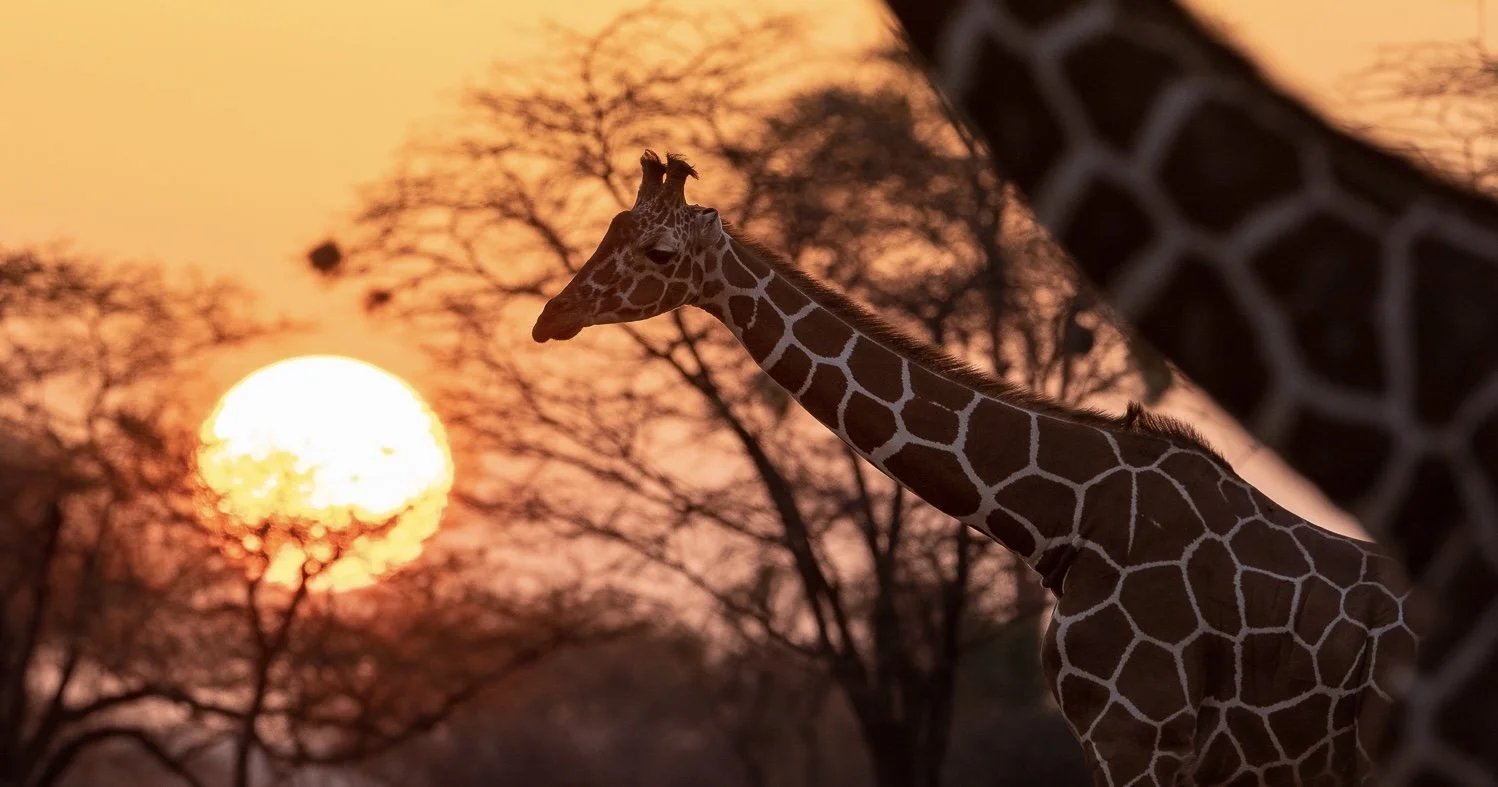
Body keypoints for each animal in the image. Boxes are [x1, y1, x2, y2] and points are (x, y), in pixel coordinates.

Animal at [531, 151, 1423, 786]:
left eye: (659, 248)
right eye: (609, 228)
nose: (552, 316)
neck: (1063, 521)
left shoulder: (1142, 734)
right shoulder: (1122, 743)